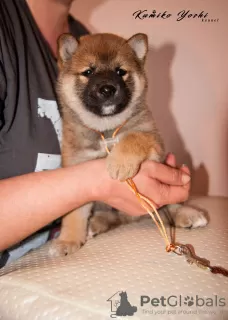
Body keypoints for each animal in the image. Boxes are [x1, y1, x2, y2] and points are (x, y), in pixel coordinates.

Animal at [50, 33, 208, 258]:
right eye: (88, 72)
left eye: (120, 72)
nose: (108, 89)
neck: (106, 129)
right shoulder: (75, 167)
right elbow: (74, 214)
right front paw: (68, 240)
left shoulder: (152, 140)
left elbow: (133, 138)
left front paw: (119, 163)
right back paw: (95, 224)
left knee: (171, 206)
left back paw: (188, 214)